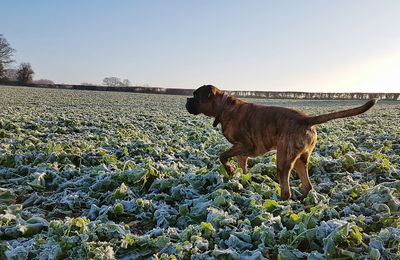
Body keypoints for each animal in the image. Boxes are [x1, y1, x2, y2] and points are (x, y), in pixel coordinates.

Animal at [186, 84, 376, 200]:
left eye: (196, 95)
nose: (187, 100)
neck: (224, 107)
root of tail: (306, 120)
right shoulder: (242, 153)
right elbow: (242, 167)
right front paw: (241, 179)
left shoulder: (244, 145)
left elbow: (222, 156)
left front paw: (230, 170)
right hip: (300, 159)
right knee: (307, 185)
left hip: (283, 160)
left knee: (286, 190)